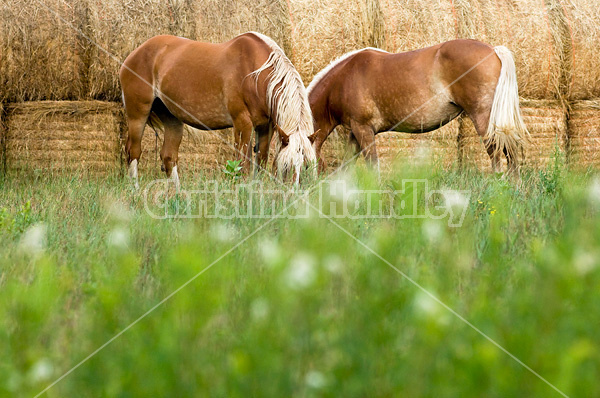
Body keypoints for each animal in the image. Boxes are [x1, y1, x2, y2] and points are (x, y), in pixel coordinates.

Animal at [117, 31, 314, 188]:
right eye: (287, 166)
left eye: (306, 166)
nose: (294, 194)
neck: (256, 74)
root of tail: (135, 53)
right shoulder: (242, 124)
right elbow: (242, 164)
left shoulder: (266, 127)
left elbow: (260, 163)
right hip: (138, 115)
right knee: (133, 152)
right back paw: (135, 192)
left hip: (172, 118)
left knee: (168, 156)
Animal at [308, 40, 528, 174]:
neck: (344, 79)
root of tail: (494, 51)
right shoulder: (356, 131)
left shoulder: (363, 130)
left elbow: (372, 166)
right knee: (511, 153)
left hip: (484, 119)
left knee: (497, 153)